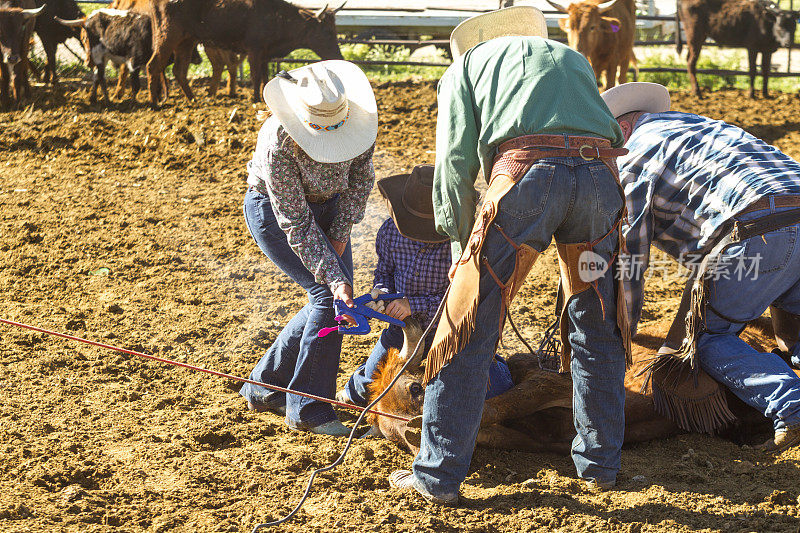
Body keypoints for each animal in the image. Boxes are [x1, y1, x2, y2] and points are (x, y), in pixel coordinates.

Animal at [145, 0, 346, 103]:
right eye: (326, 32)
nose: (339, 57)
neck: (277, 17)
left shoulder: (265, 54)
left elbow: (265, 76)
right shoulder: (254, 50)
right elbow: (256, 76)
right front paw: (256, 98)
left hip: (186, 42)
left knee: (179, 70)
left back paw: (193, 99)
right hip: (168, 36)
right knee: (153, 66)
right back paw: (154, 103)